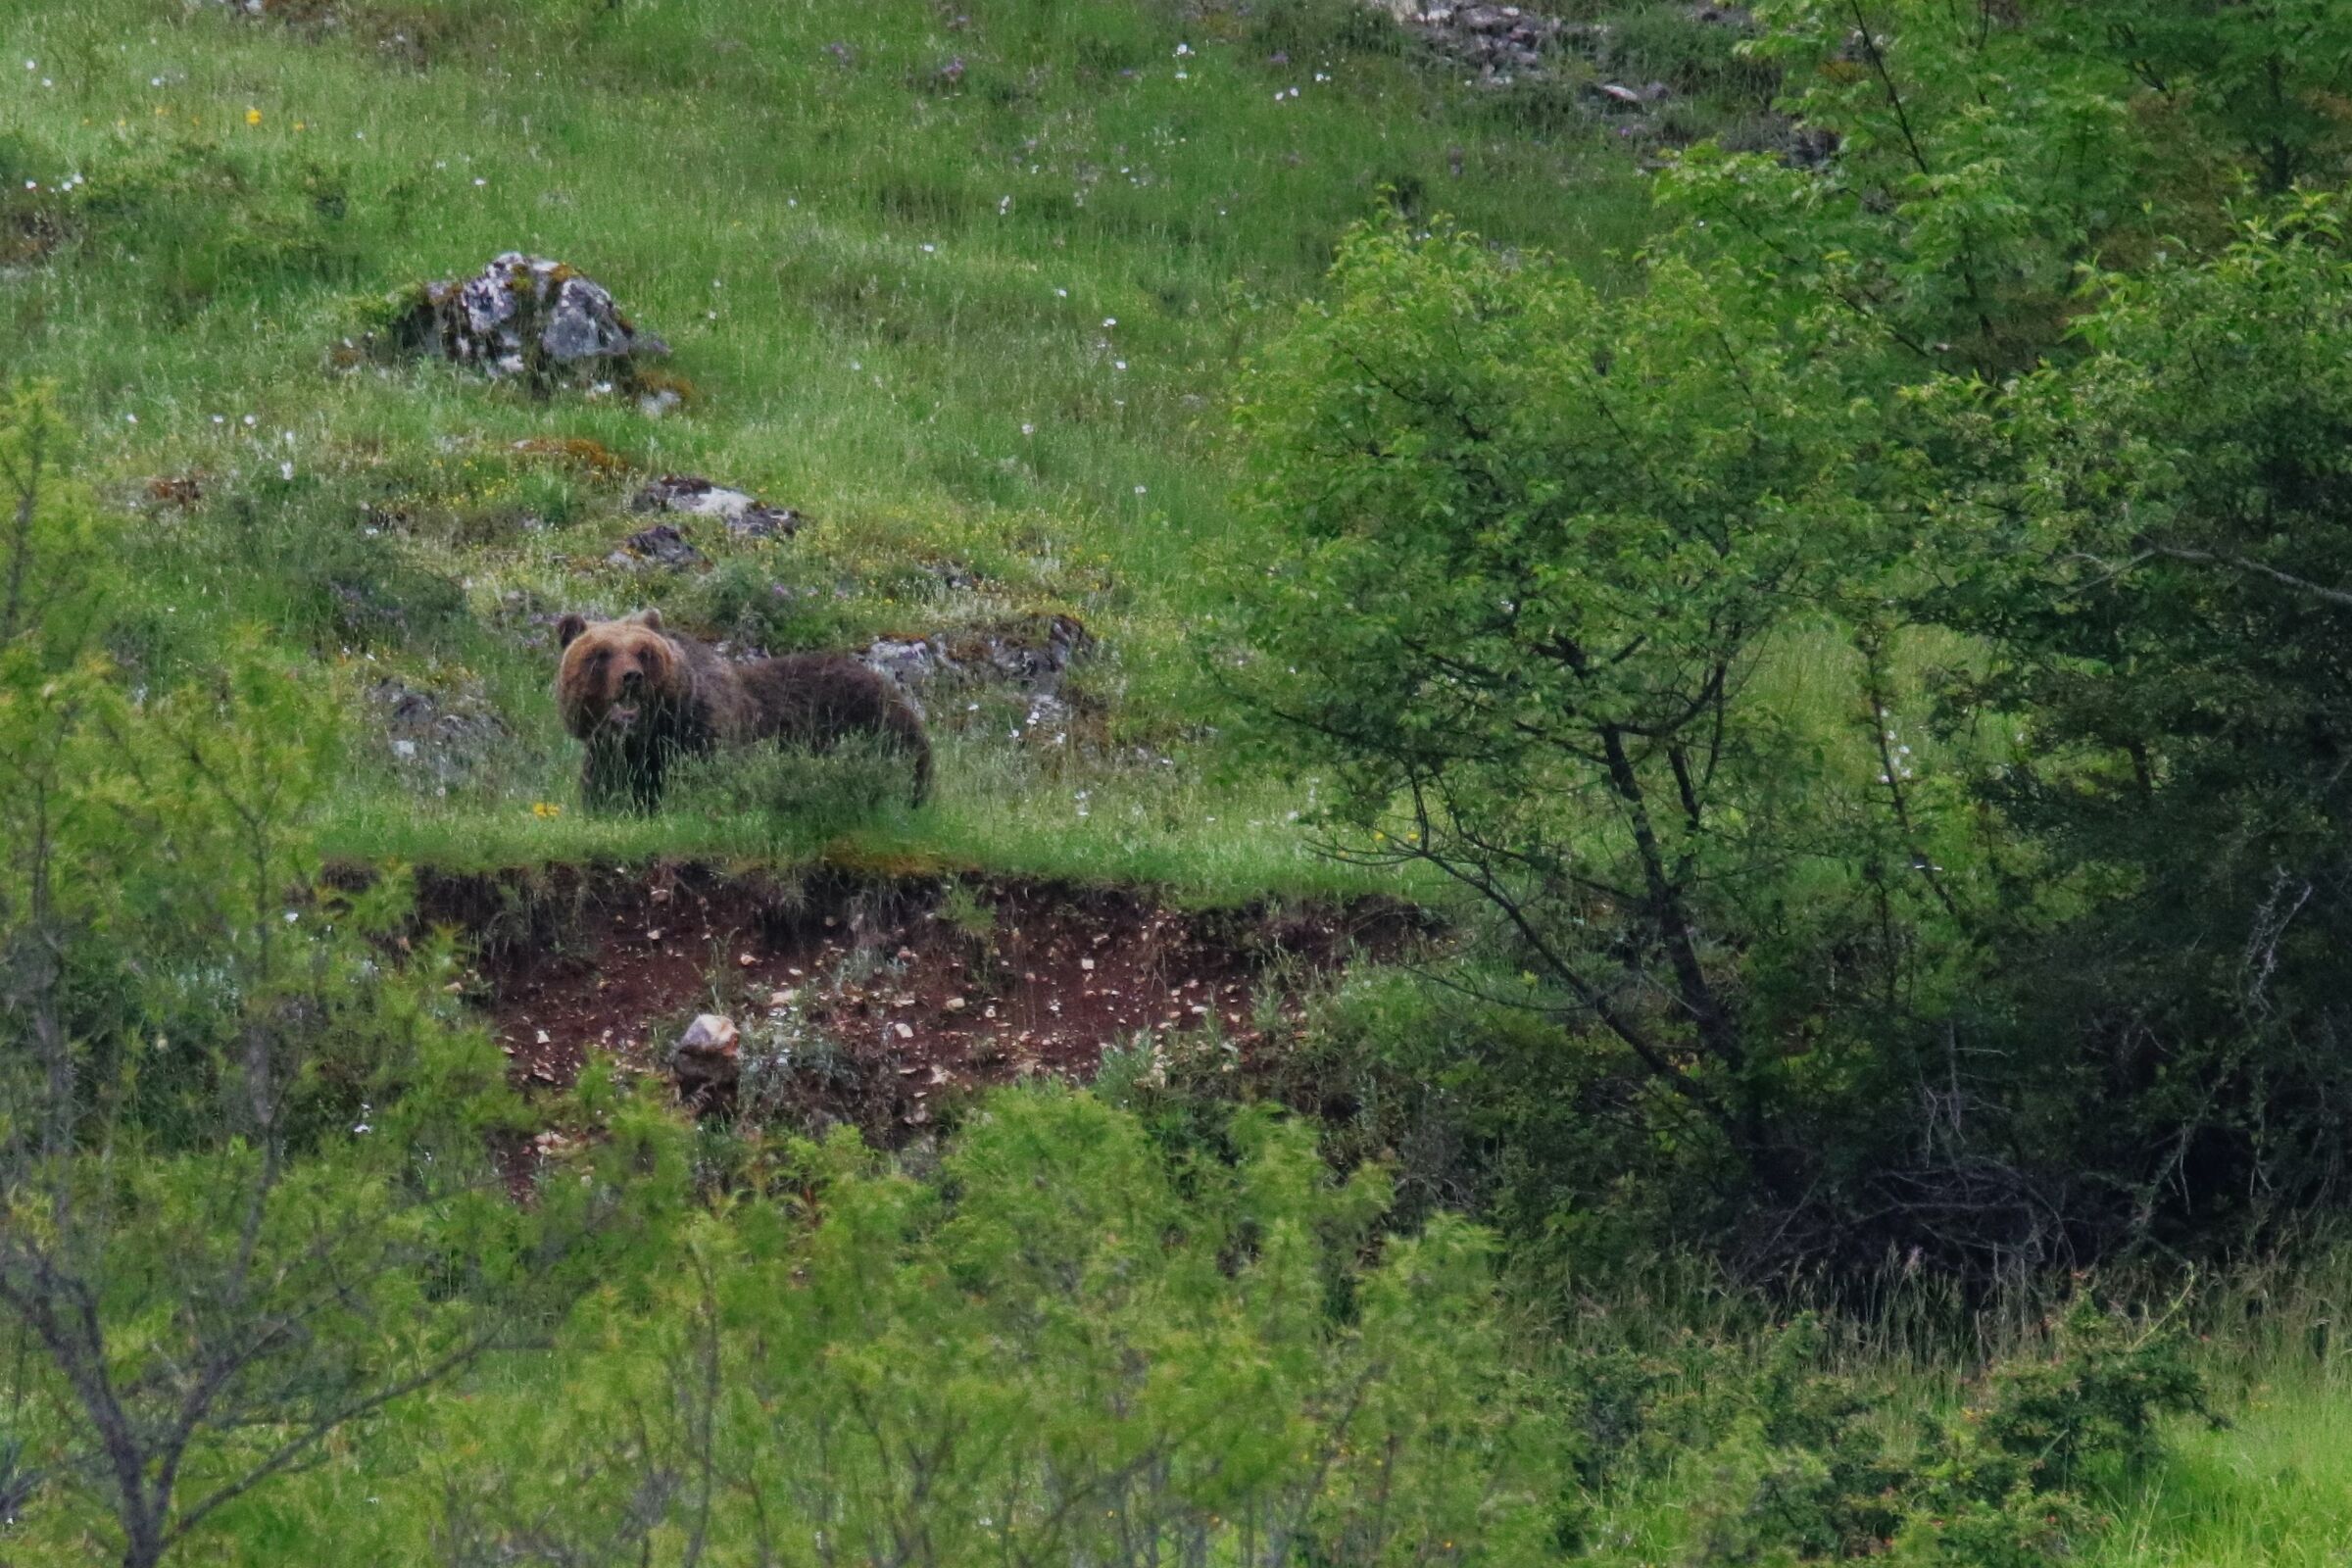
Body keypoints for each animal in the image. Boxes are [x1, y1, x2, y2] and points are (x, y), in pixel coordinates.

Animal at [555, 609, 930, 811]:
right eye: (600, 653)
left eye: (644, 651)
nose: (632, 677)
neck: (650, 735)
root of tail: (890, 686)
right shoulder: (610, 756)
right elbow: (608, 795)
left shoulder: (703, 735)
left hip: (879, 726)